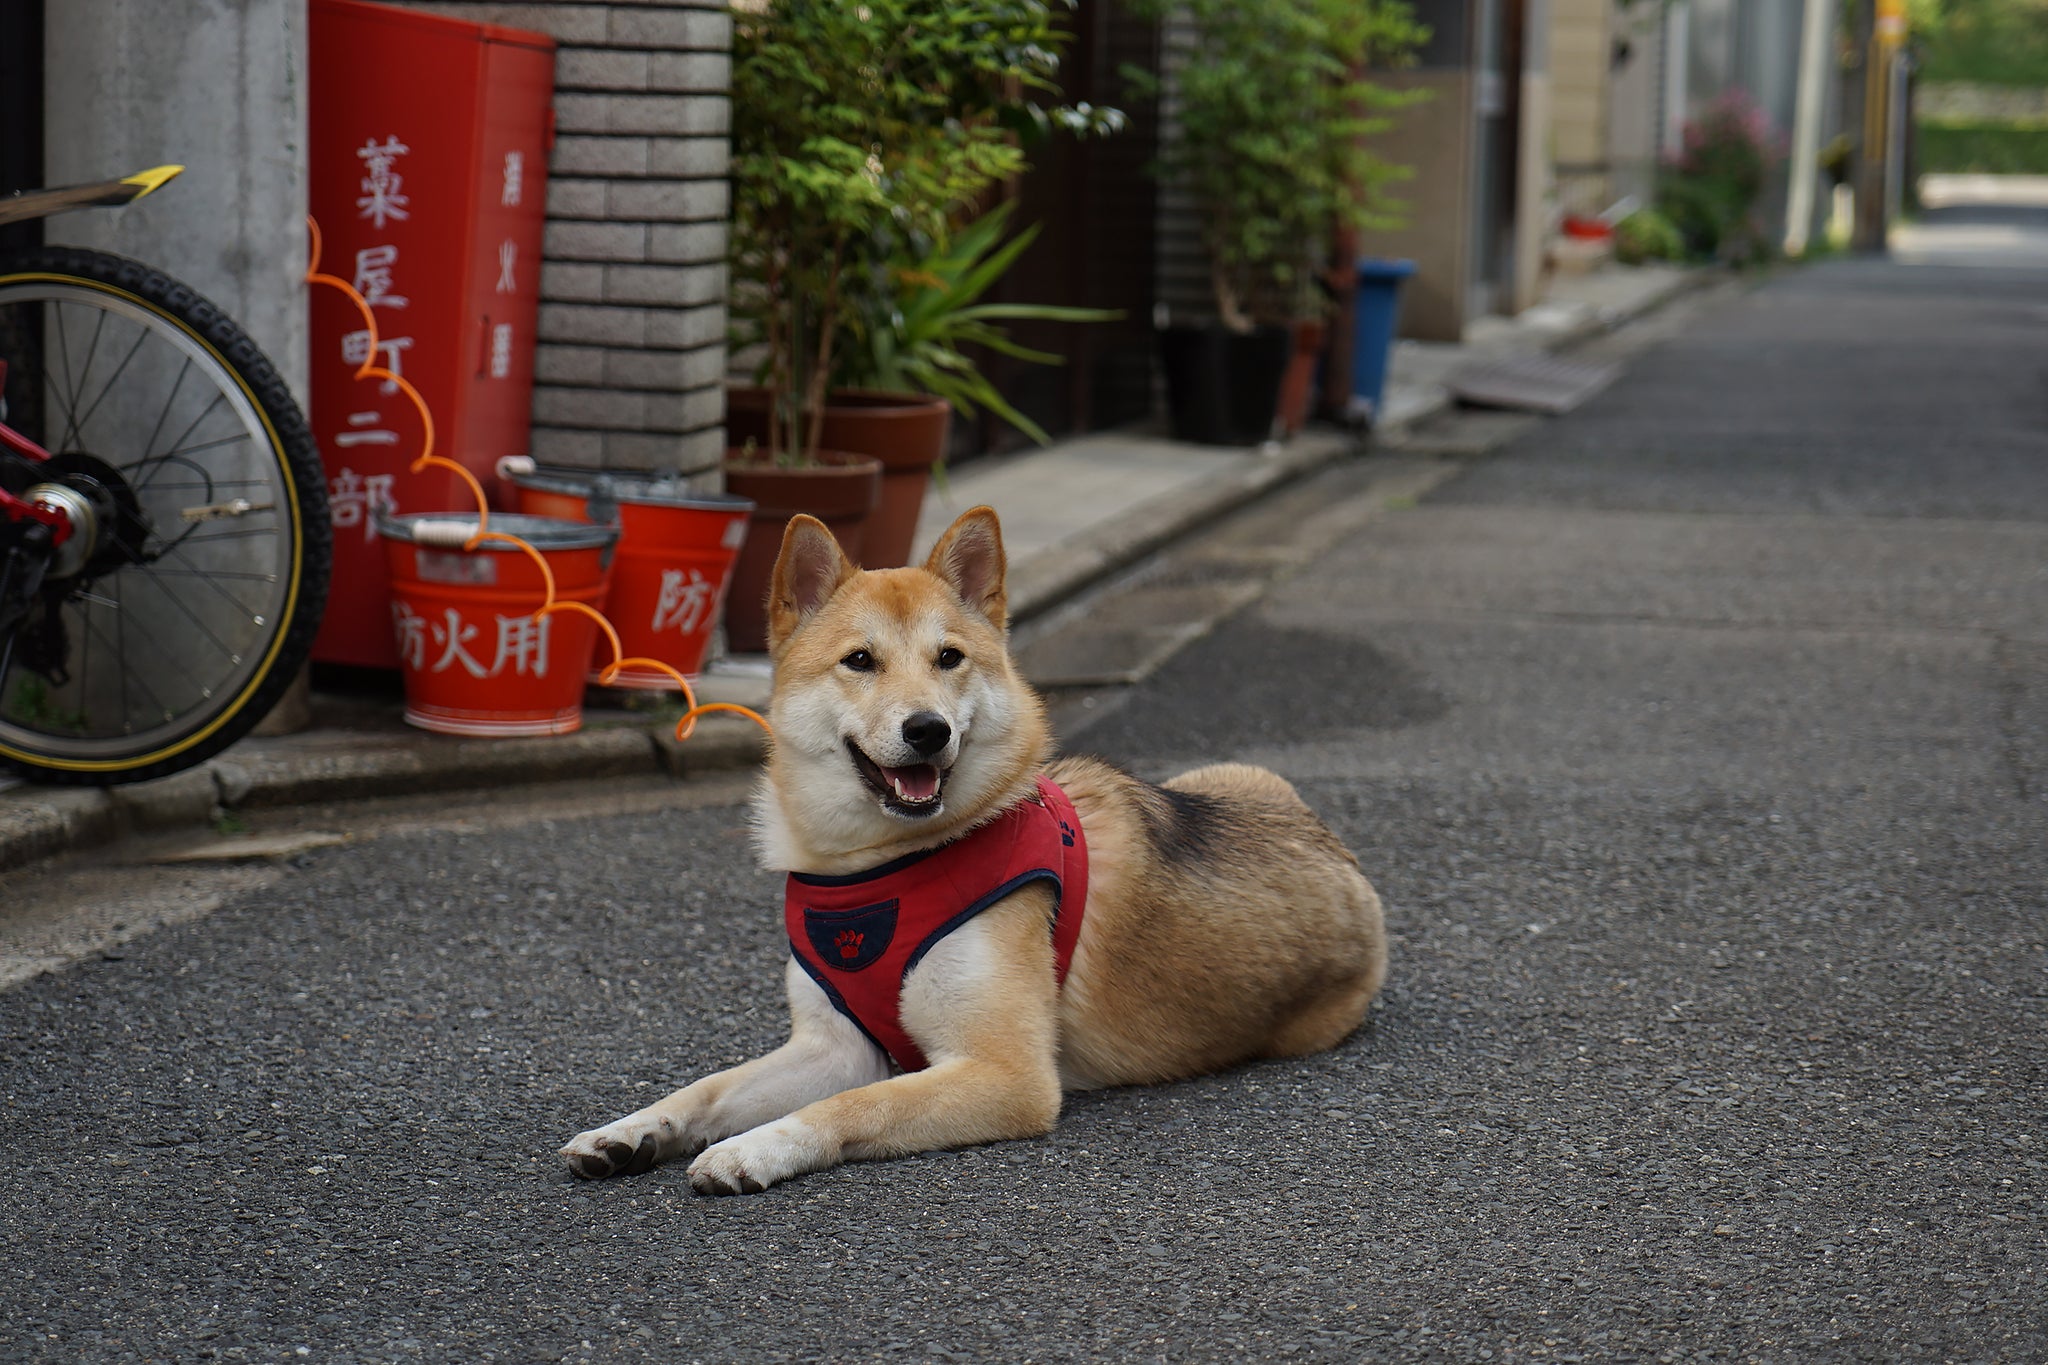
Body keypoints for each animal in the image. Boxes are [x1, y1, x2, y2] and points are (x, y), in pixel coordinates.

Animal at [565, 505, 1392, 1195]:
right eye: (859, 660)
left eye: (950, 657)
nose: (928, 729)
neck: (876, 865)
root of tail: (1337, 851)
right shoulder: (833, 1045)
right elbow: (708, 1086)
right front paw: (630, 1130)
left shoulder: (1006, 1072)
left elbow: (850, 1105)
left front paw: (754, 1147)